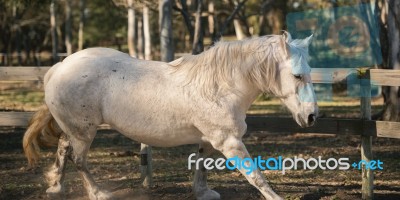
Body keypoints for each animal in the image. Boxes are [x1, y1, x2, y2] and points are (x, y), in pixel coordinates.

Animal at [24, 32, 318, 200]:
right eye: (297, 75)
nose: (312, 116)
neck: (220, 87)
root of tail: (59, 67)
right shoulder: (229, 142)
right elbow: (255, 175)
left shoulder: (209, 140)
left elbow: (201, 165)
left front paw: (203, 193)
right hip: (85, 132)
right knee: (79, 160)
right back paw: (99, 193)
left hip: (74, 129)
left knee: (63, 149)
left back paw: (56, 187)